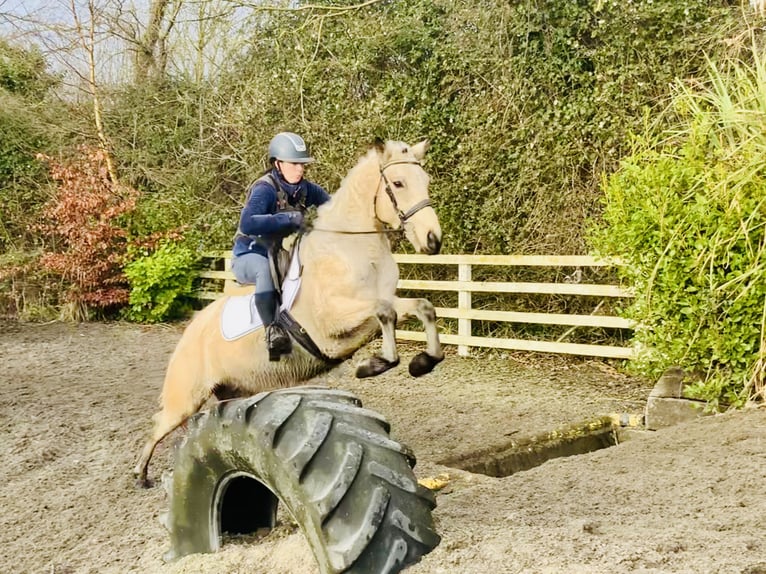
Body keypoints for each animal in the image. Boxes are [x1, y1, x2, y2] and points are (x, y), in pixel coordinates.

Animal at [133, 138, 444, 486]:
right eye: (398, 183)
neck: (351, 248)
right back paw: (140, 473)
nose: (433, 240)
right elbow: (385, 312)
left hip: (233, 389)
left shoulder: (383, 302)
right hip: (186, 398)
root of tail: (190, 331)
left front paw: (423, 362)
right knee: (159, 423)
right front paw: (373, 365)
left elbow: (420, 307)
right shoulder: (333, 323)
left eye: (426, 181)